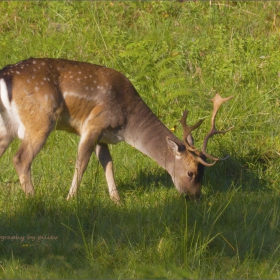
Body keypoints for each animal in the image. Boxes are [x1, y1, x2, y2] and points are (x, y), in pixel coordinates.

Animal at [0, 57, 233, 201]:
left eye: (202, 172)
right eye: (191, 172)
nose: (195, 197)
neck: (127, 124)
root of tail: (6, 74)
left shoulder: (104, 136)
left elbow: (108, 164)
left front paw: (117, 200)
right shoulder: (94, 124)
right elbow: (81, 162)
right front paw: (71, 198)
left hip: (7, 126)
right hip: (40, 119)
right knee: (21, 158)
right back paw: (34, 199)